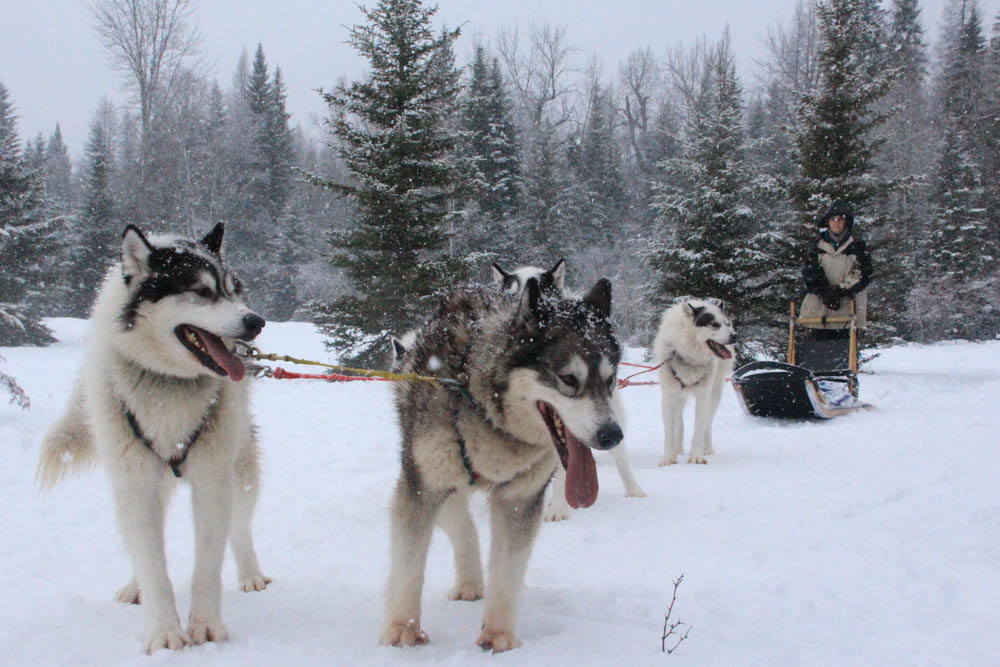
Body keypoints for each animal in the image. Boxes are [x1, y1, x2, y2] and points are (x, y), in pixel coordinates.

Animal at [37, 223, 270, 652]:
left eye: (232, 290)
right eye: (201, 291)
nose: (255, 321)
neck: (168, 383)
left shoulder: (212, 480)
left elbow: (207, 564)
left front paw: (205, 625)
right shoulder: (134, 485)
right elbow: (151, 562)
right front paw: (165, 630)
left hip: (240, 464)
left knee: (240, 526)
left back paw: (249, 573)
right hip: (143, 477)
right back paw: (135, 586)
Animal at [384, 276, 624, 652]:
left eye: (610, 379)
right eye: (569, 379)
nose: (612, 435)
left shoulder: (519, 499)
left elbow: (507, 568)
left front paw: (498, 634)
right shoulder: (423, 487)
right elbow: (409, 564)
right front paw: (402, 628)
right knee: (462, 525)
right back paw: (469, 580)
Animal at [652, 302, 740, 464]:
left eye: (727, 323)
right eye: (714, 324)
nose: (735, 335)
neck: (690, 356)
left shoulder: (703, 397)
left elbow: (699, 430)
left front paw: (696, 457)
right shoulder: (668, 397)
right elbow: (669, 432)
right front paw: (668, 458)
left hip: (714, 396)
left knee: (707, 424)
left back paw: (708, 449)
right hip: (678, 397)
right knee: (679, 421)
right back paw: (678, 449)